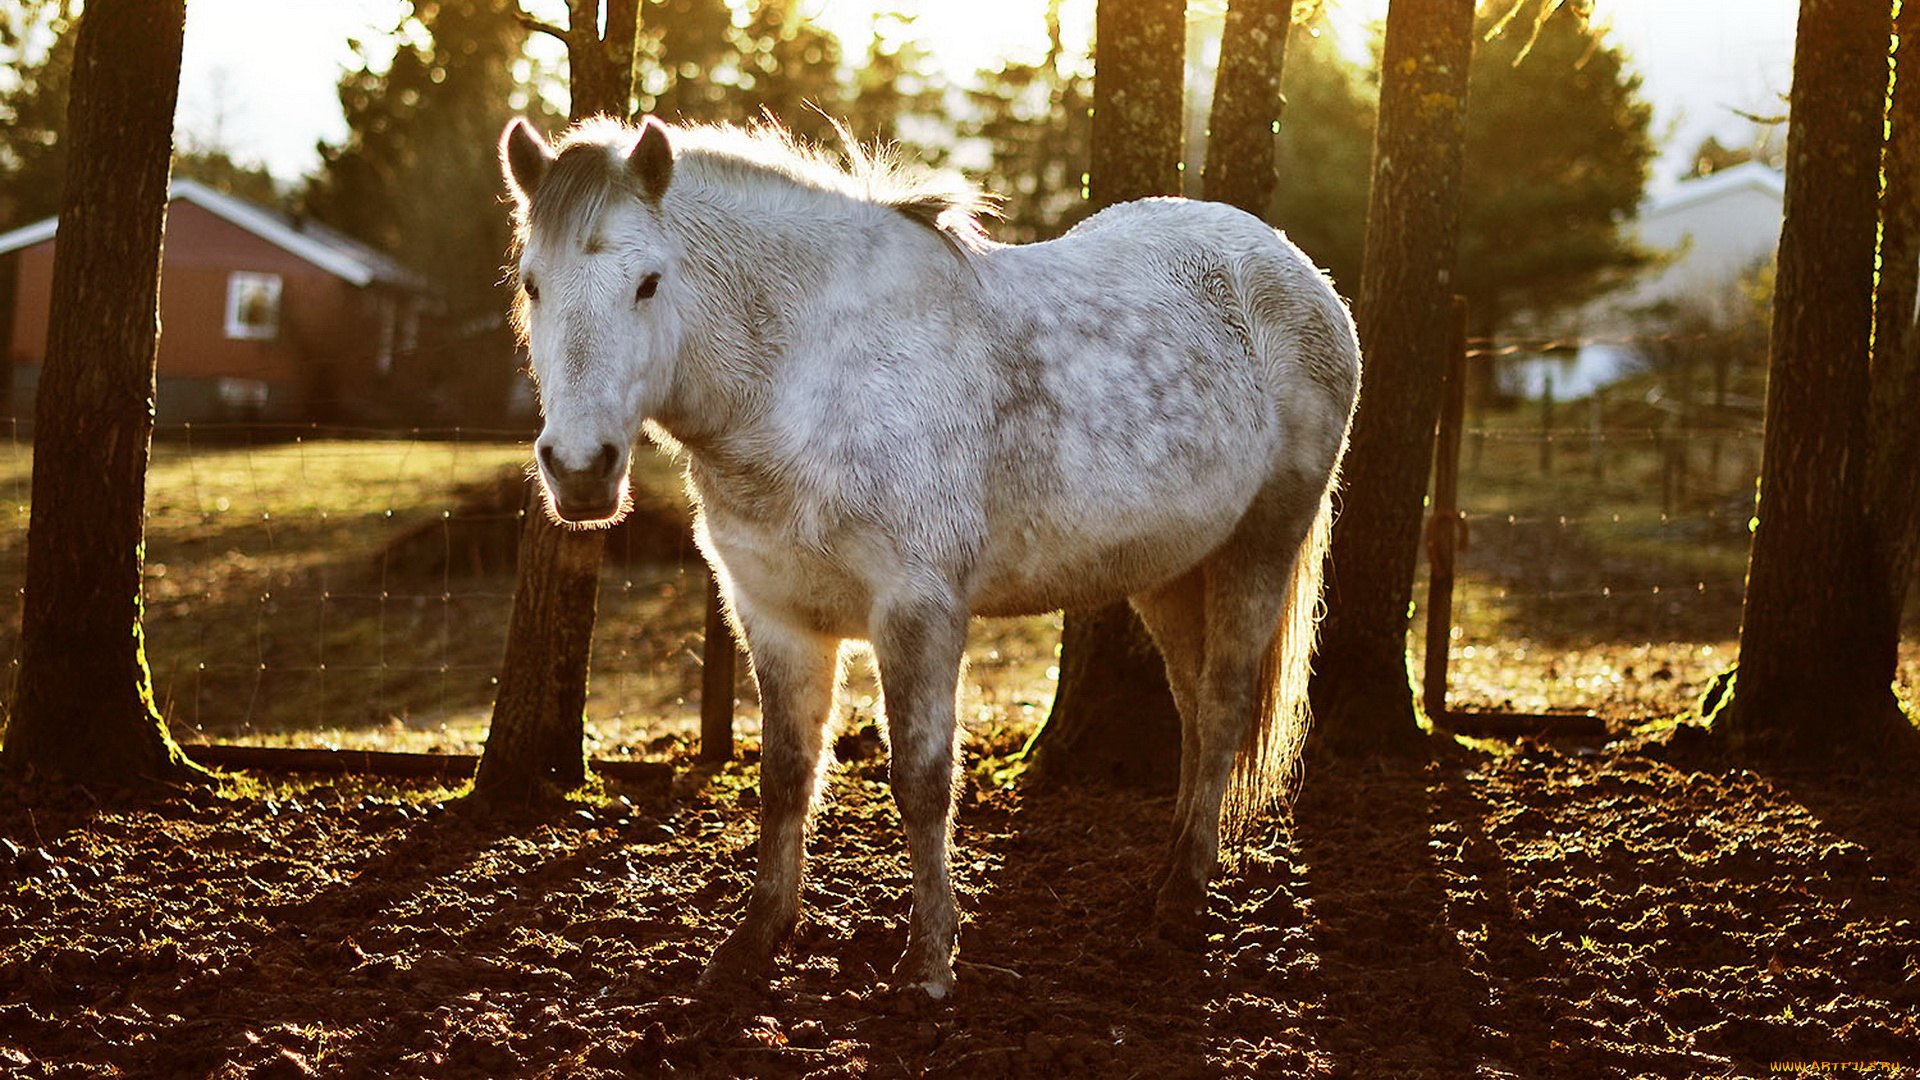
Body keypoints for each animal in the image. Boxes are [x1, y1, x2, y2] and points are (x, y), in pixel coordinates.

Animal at [503, 115, 1359, 991]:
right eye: (532, 284)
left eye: (647, 283)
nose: (580, 469)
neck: (811, 377)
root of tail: (1294, 268)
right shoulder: (774, 615)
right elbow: (785, 776)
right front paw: (757, 935)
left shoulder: (917, 610)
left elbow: (921, 781)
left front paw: (928, 959)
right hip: (1171, 569)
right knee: (1191, 708)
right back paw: (1174, 867)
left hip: (1262, 543)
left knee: (1221, 704)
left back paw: (1185, 896)